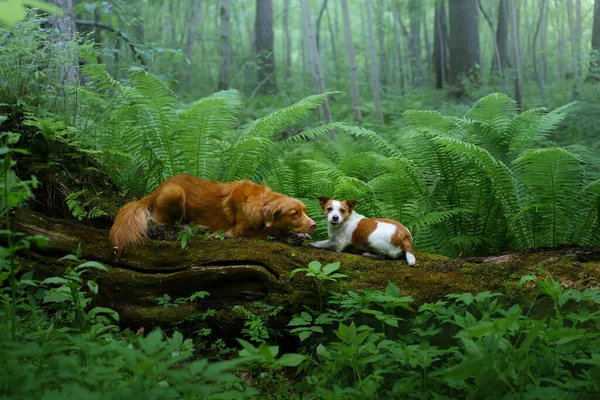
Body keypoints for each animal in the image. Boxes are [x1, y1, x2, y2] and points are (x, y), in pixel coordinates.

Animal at [110, 173, 316, 255]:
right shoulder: (239, 231)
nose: (314, 225)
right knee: (163, 221)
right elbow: (271, 231)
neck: (260, 202)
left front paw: (300, 235)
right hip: (174, 192)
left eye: (305, 211)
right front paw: (290, 236)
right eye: (294, 213)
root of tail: (157, 188)